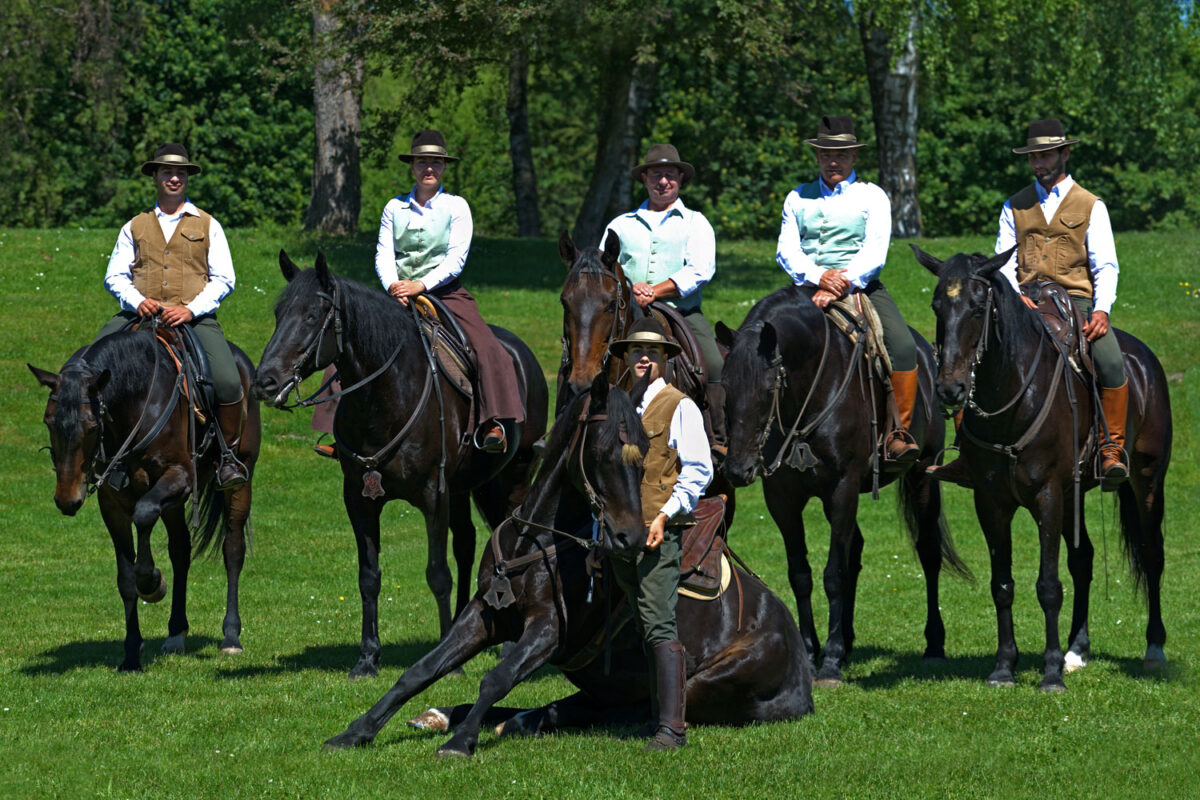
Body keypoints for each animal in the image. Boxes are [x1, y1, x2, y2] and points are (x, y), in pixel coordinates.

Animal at [28, 328, 260, 671]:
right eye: (48, 422)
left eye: (92, 426)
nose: (67, 499)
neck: (137, 401)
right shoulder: (112, 502)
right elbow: (126, 578)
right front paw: (130, 654)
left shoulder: (179, 476)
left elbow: (145, 514)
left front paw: (152, 582)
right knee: (181, 550)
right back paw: (176, 633)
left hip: (239, 482)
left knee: (232, 549)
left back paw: (230, 637)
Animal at [258, 253, 552, 681]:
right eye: (279, 314)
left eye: (313, 315)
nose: (265, 380)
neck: (385, 397)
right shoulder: (359, 499)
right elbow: (369, 577)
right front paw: (367, 659)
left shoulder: (434, 495)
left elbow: (438, 574)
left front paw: (449, 665)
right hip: (466, 487)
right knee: (466, 543)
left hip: (511, 477)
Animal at [324, 376, 816, 758]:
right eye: (602, 452)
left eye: (644, 455)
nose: (630, 538)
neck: (537, 540)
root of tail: (801, 674)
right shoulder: (483, 615)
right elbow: (420, 671)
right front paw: (356, 731)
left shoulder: (548, 631)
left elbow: (496, 678)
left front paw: (461, 742)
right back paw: (457, 716)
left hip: (701, 682)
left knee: (631, 707)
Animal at [715, 284, 969, 686]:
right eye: (726, 385)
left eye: (769, 387)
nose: (738, 469)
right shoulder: (782, 498)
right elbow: (801, 574)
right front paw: (810, 651)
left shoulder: (843, 487)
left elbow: (833, 574)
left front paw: (831, 662)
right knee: (855, 549)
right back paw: (847, 640)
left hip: (921, 474)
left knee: (927, 553)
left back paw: (933, 645)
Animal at [912, 244, 1166, 690]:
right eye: (937, 305)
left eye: (979, 307)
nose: (950, 388)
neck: (1013, 397)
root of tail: (1146, 361)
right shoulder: (992, 502)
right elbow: (1002, 584)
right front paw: (1004, 667)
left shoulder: (1046, 496)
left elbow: (1048, 586)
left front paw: (1049, 674)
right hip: (1074, 495)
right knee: (1083, 560)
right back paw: (1076, 651)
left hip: (1148, 479)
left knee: (1152, 555)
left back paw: (1153, 648)